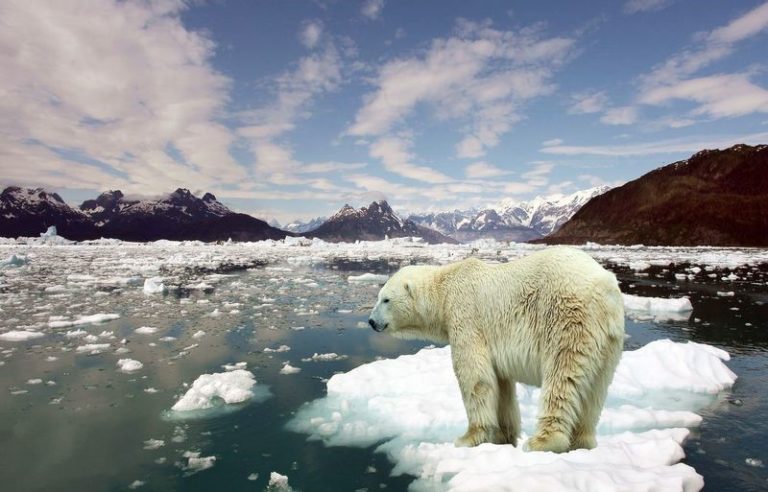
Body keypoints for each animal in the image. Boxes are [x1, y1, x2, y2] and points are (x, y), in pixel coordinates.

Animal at [368, 248, 628, 452]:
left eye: (385, 300)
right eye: (379, 297)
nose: (371, 321)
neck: (445, 289)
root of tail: (605, 288)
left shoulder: (466, 317)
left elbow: (474, 377)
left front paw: (468, 437)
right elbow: (501, 385)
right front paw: (503, 435)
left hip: (567, 318)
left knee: (562, 376)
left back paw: (542, 442)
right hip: (609, 341)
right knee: (596, 389)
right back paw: (582, 441)